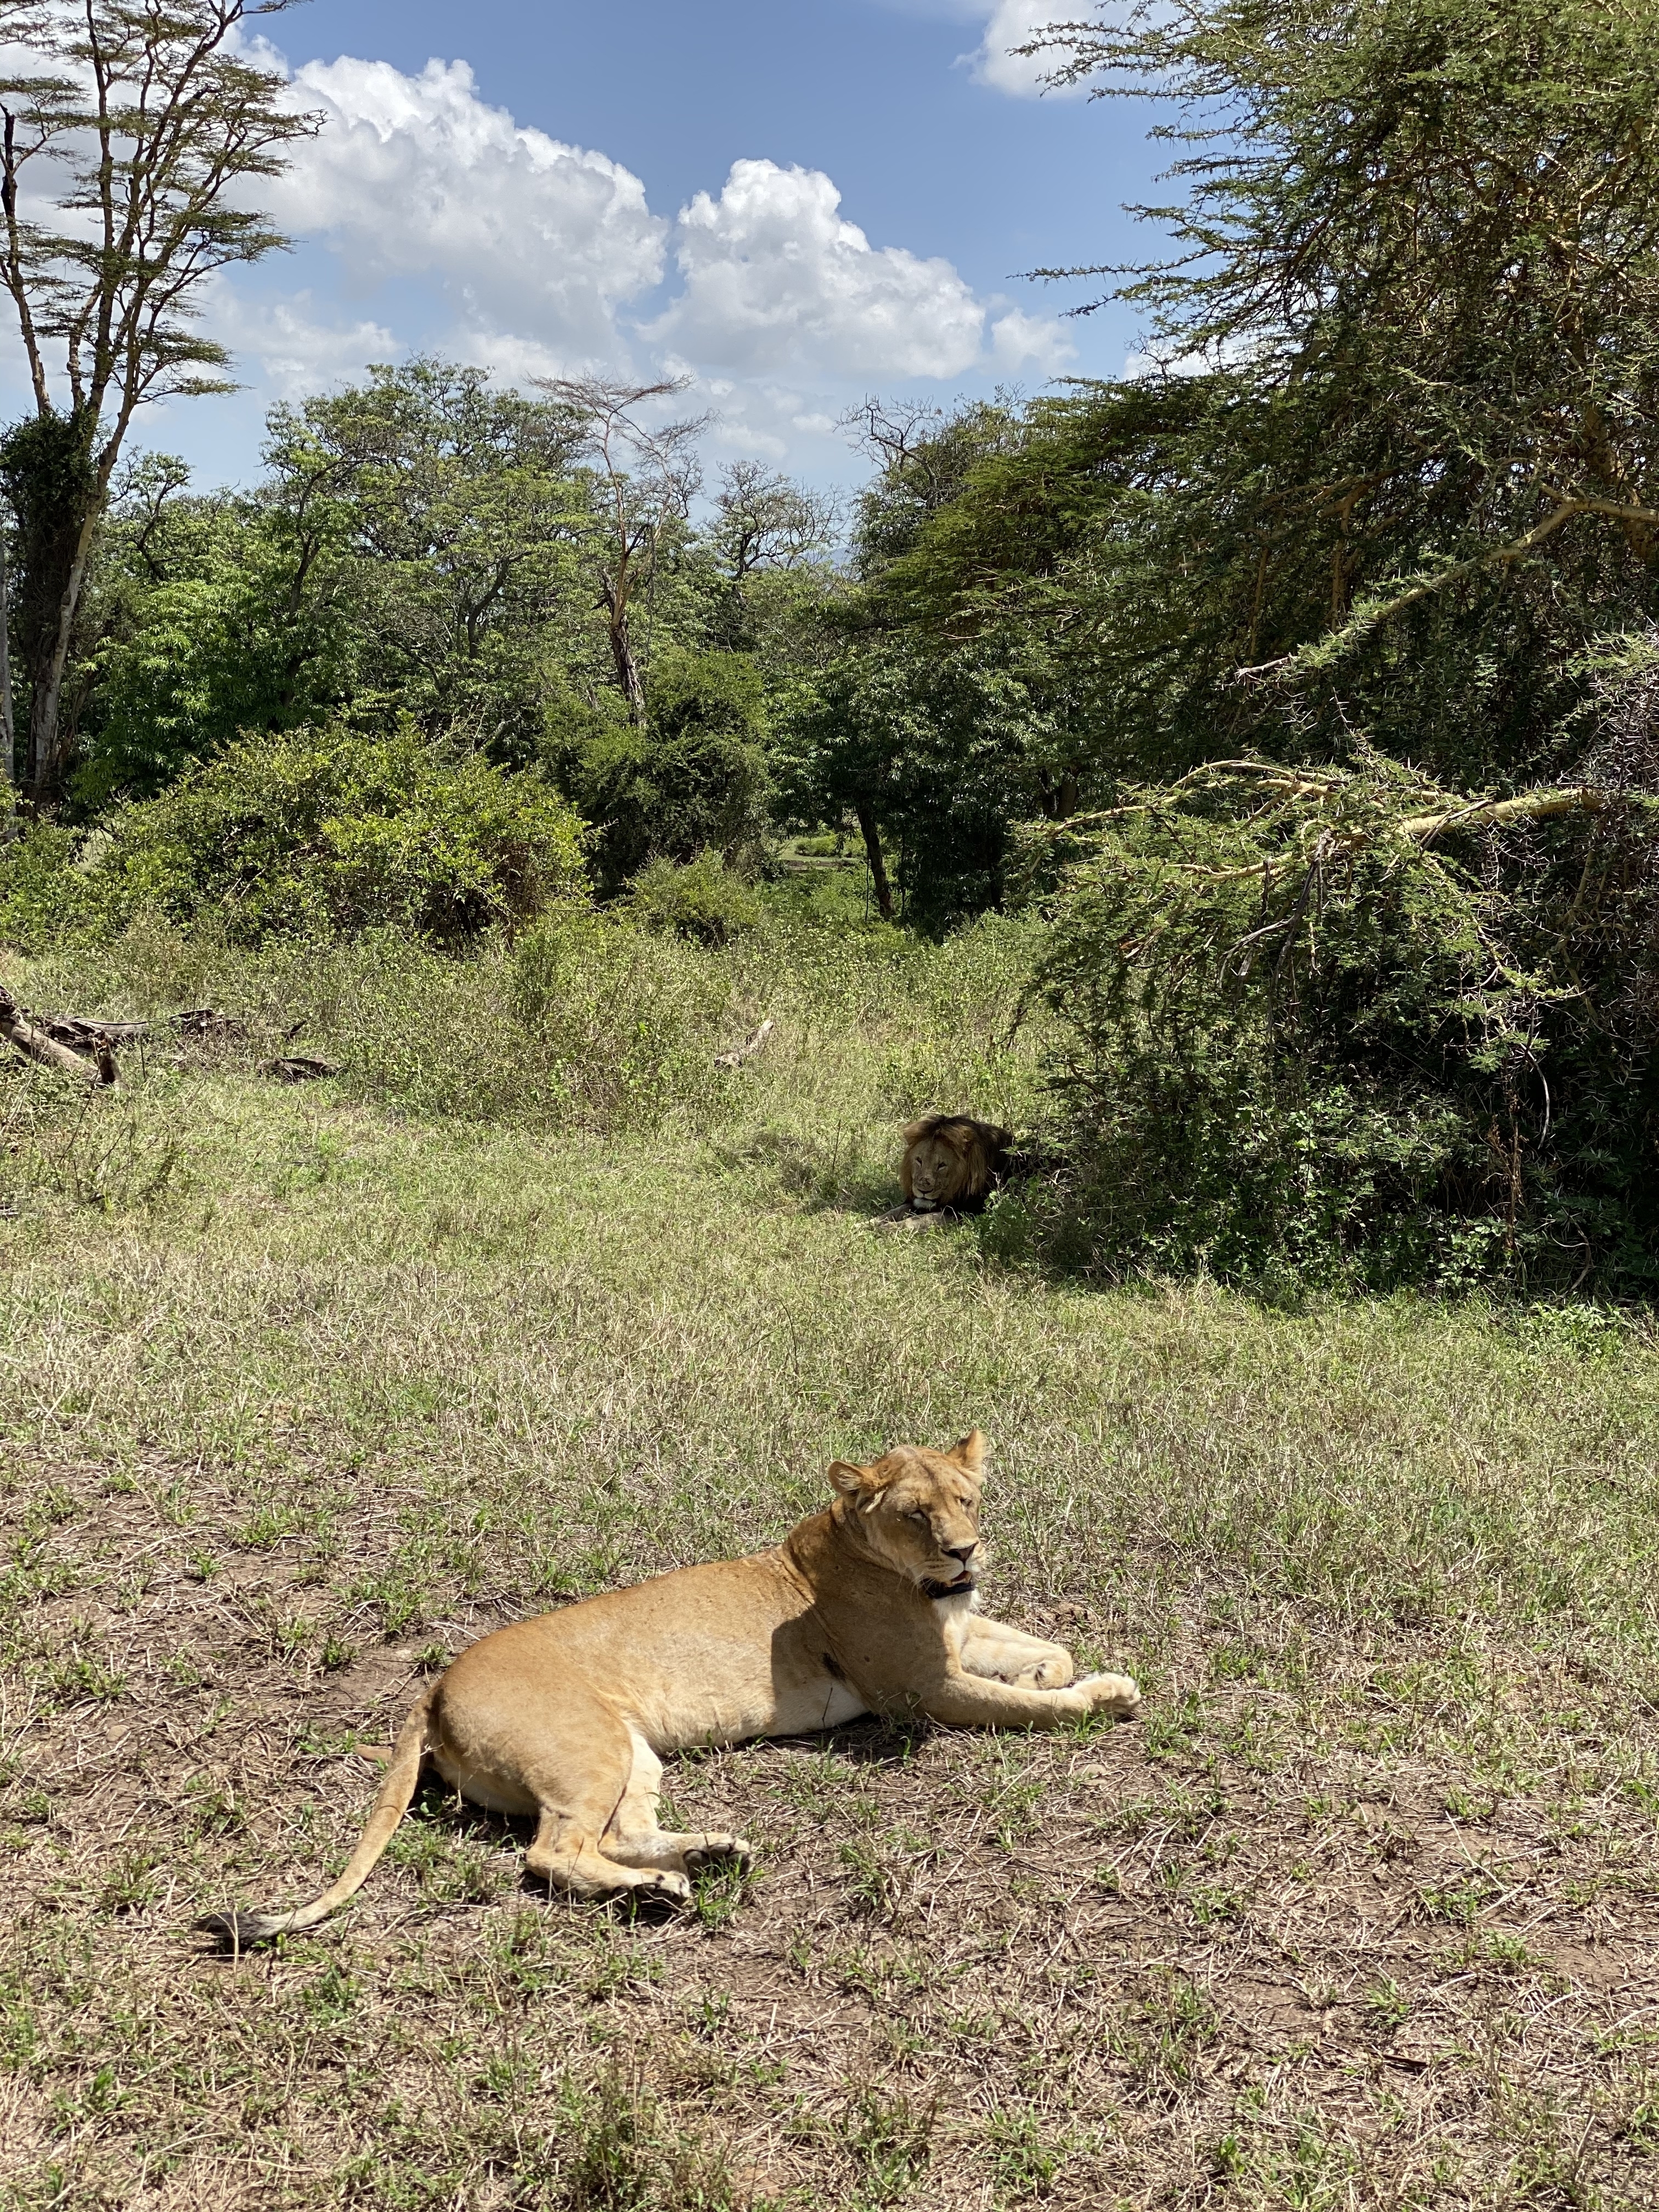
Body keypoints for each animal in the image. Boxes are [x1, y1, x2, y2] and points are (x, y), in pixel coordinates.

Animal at [197, 1431, 1138, 1945]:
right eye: (916, 1514)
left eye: (969, 1500)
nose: (965, 1551)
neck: (909, 1579)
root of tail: (434, 1684)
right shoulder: (918, 1688)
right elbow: (1028, 1705)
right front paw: (1098, 1698)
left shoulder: (953, 1635)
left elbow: (1034, 1646)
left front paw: (1066, 1667)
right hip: (587, 1749)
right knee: (552, 1855)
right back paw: (664, 1892)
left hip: (630, 1753)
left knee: (613, 1837)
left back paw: (707, 1857)